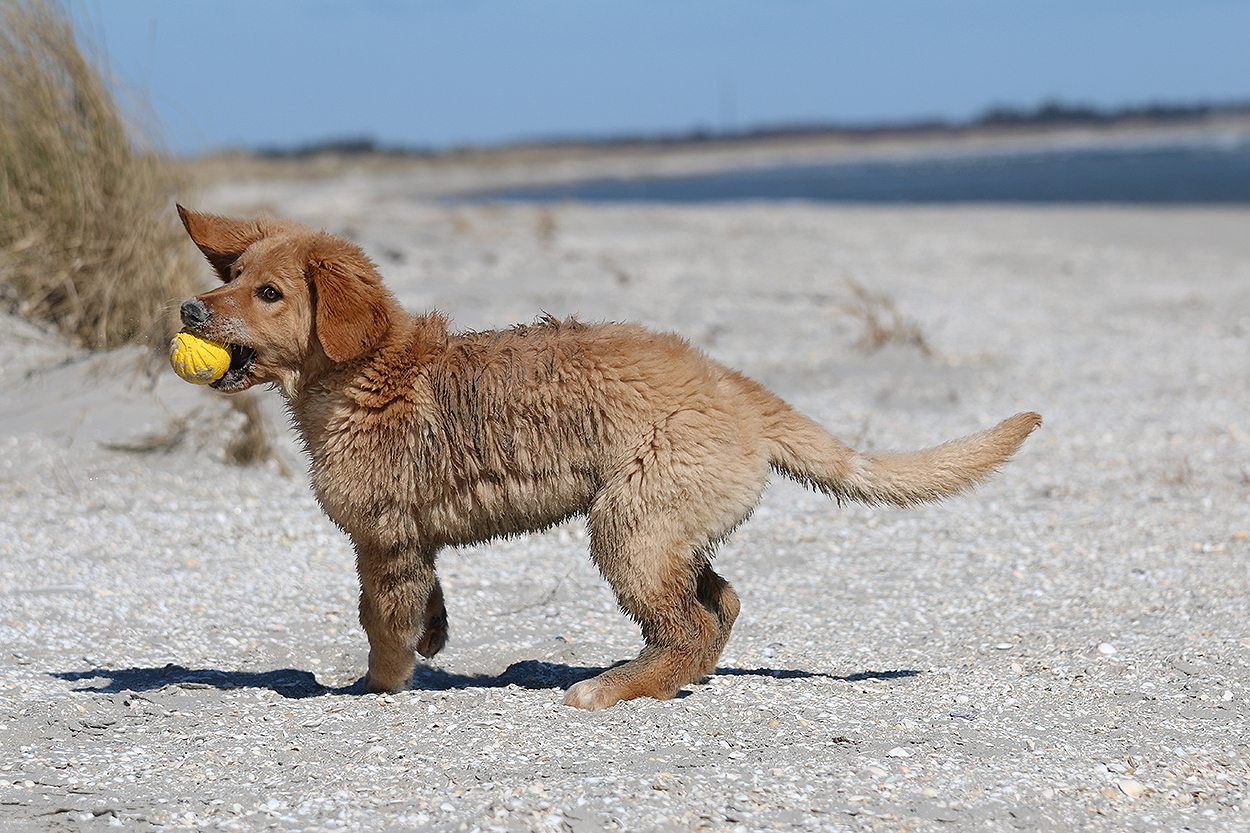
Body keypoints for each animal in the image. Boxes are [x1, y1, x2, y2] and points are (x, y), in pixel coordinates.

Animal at [175, 206, 1041, 710]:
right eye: (234, 276)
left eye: (270, 294)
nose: (188, 308)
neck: (365, 373)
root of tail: (733, 386)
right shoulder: (411, 540)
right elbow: (422, 605)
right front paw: (435, 637)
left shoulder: (381, 540)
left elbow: (380, 622)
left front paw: (375, 687)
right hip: (664, 523)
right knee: (718, 605)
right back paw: (669, 677)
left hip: (630, 524)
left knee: (687, 622)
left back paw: (613, 686)